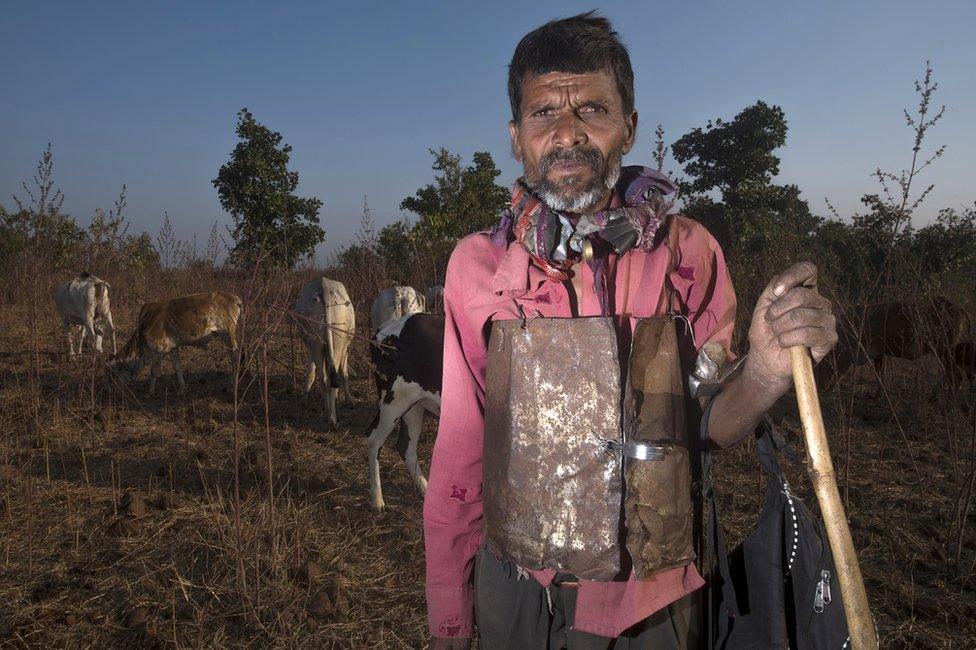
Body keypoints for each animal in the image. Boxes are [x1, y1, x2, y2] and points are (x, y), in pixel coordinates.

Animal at [107, 292, 241, 392]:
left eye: (113, 373)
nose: (109, 389)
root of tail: (234, 297)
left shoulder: (158, 350)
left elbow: (154, 371)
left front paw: (150, 392)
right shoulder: (172, 347)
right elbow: (177, 367)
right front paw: (182, 388)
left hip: (228, 334)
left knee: (235, 357)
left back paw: (232, 386)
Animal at [298, 276, 358, 428]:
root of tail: (323, 286)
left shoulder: (311, 349)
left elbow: (310, 373)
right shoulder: (345, 349)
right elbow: (344, 374)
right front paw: (349, 400)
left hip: (315, 343)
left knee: (324, 379)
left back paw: (327, 414)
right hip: (337, 344)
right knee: (332, 379)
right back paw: (333, 419)